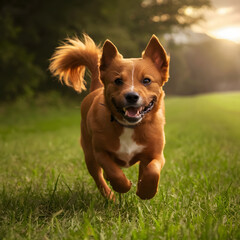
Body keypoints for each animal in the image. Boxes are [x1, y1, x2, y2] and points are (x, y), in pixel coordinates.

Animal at [49, 33, 169, 199]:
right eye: (118, 81)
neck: (129, 127)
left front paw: (146, 191)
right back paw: (109, 196)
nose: (131, 96)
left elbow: (152, 170)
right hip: (89, 154)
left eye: (146, 80)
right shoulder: (100, 153)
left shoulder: (156, 154)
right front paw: (123, 186)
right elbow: (113, 171)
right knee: (98, 176)